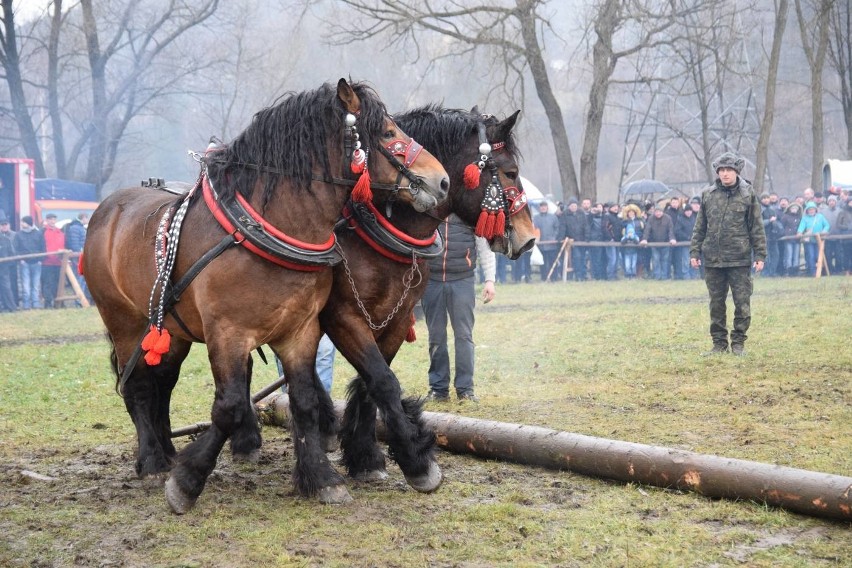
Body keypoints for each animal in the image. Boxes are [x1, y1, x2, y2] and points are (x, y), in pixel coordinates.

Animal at [83, 79, 450, 510]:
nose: (442, 181)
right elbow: (228, 406)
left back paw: (165, 451)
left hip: (171, 330)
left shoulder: (300, 330)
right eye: (389, 133)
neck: (269, 227)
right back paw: (155, 462)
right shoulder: (228, 333)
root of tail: (108, 209)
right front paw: (187, 482)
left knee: (163, 383)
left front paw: (321, 479)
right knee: (139, 387)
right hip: (124, 322)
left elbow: (305, 401)